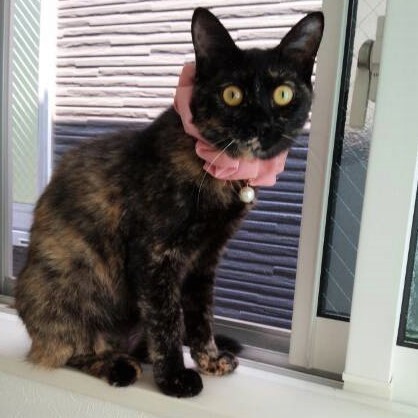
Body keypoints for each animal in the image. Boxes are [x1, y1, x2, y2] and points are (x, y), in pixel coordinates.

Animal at [15, 8, 324, 397]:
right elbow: (167, 321)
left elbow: (200, 315)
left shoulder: (205, 258)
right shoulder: (156, 255)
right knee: (67, 350)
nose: (260, 125)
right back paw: (117, 365)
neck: (216, 169)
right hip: (60, 294)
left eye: (283, 94)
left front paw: (209, 359)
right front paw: (176, 378)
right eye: (232, 94)